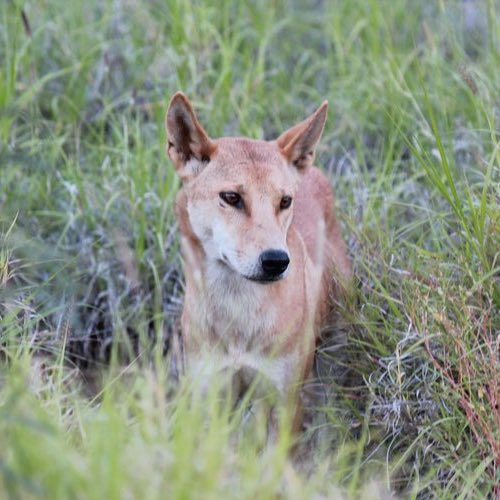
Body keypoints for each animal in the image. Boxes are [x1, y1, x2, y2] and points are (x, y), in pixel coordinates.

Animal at [165, 93, 352, 434]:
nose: (276, 260)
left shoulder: (285, 401)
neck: (239, 317)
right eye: (231, 197)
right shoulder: (211, 396)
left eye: (285, 201)